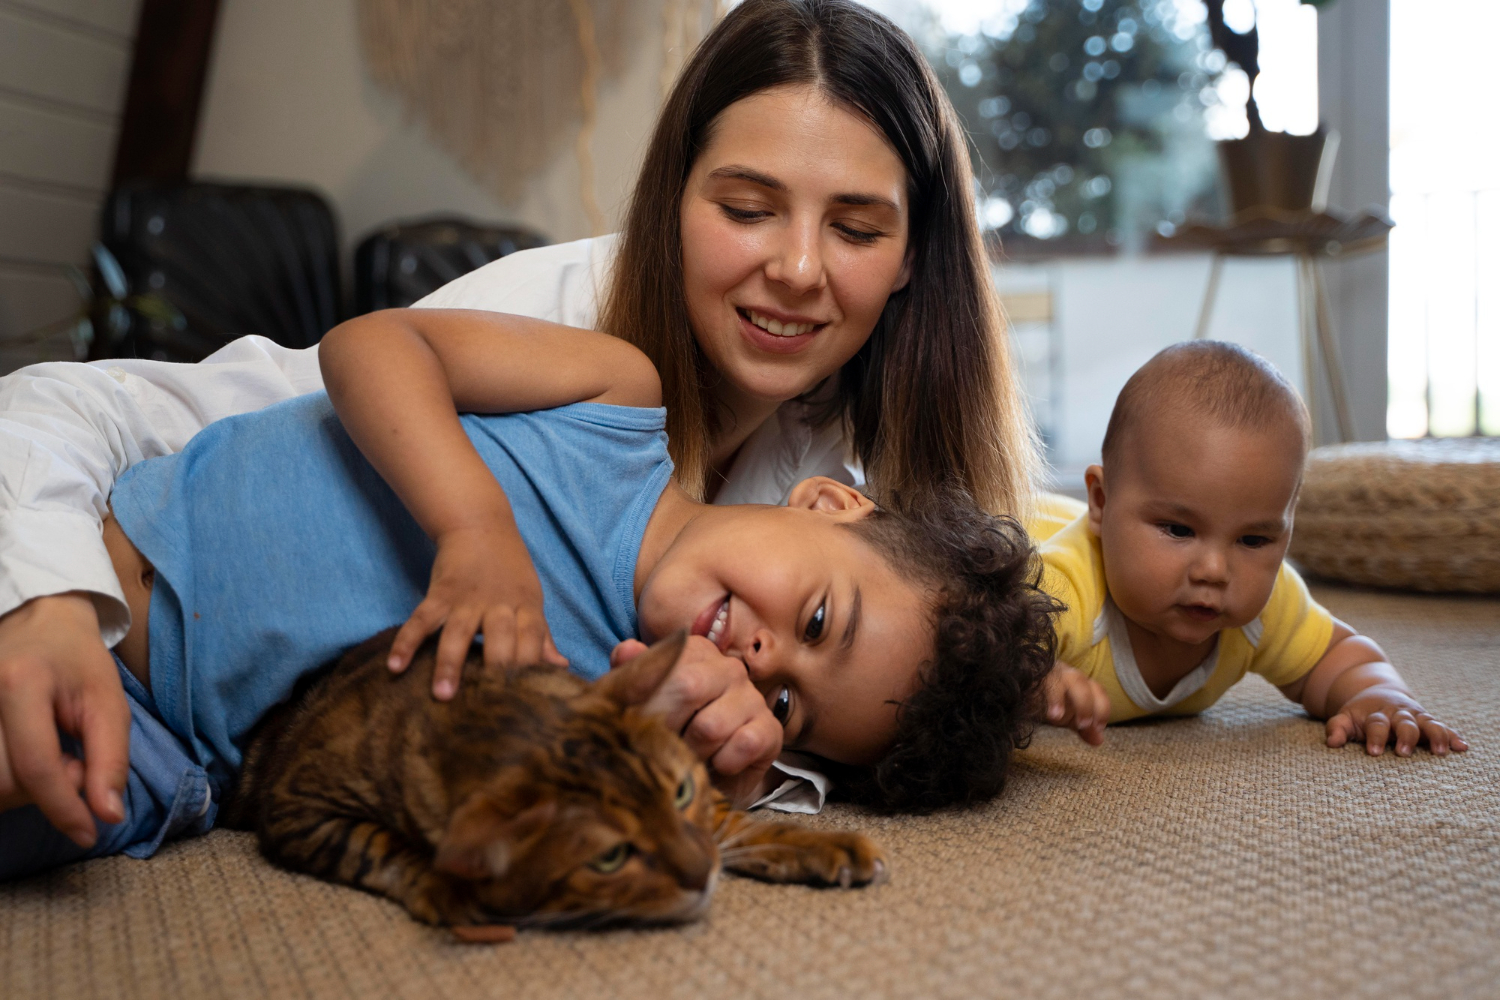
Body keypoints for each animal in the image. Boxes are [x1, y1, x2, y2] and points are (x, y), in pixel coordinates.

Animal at [226, 632, 882, 941]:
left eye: (681, 794)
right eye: (610, 858)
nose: (705, 877)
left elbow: (733, 822)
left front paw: (821, 845)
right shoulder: (297, 807)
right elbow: (379, 846)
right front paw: (446, 886)